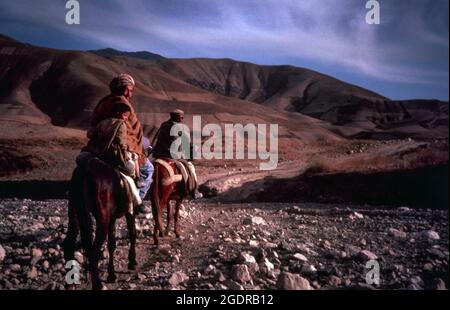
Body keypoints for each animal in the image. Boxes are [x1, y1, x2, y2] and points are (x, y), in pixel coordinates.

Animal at [62, 157, 138, 290]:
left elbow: (111, 244)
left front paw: (111, 275)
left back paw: (70, 285)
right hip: (102, 220)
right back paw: (97, 284)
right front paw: (132, 262)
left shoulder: (112, 219)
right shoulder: (130, 212)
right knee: (93, 250)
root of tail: (86, 169)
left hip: (75, 213)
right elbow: (132, 234)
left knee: (69, 244)